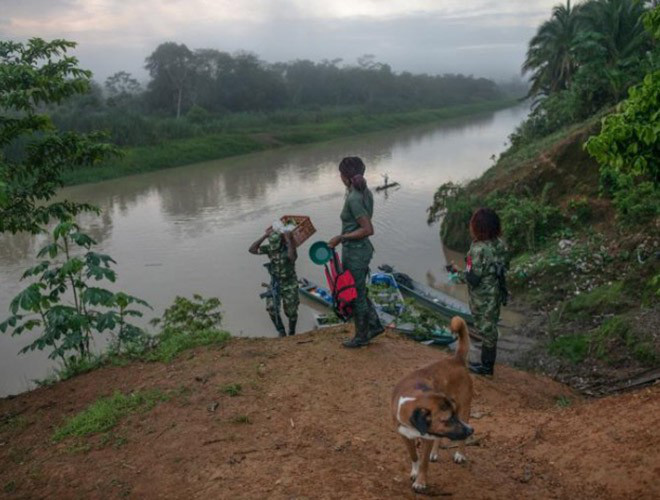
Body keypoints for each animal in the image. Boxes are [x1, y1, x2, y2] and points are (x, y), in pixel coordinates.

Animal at [390, 316, 472, 492]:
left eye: (453, 417)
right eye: (447, 419)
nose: (471, 430)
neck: (413, 399)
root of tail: (457, 359)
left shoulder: (427, 437)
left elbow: (423, 462)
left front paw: (420, 481)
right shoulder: (404, 435)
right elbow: (414, 456)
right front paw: (414, 472)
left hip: (465, 408)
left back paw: (460, 454)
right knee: (439, 438)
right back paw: (436, 452)